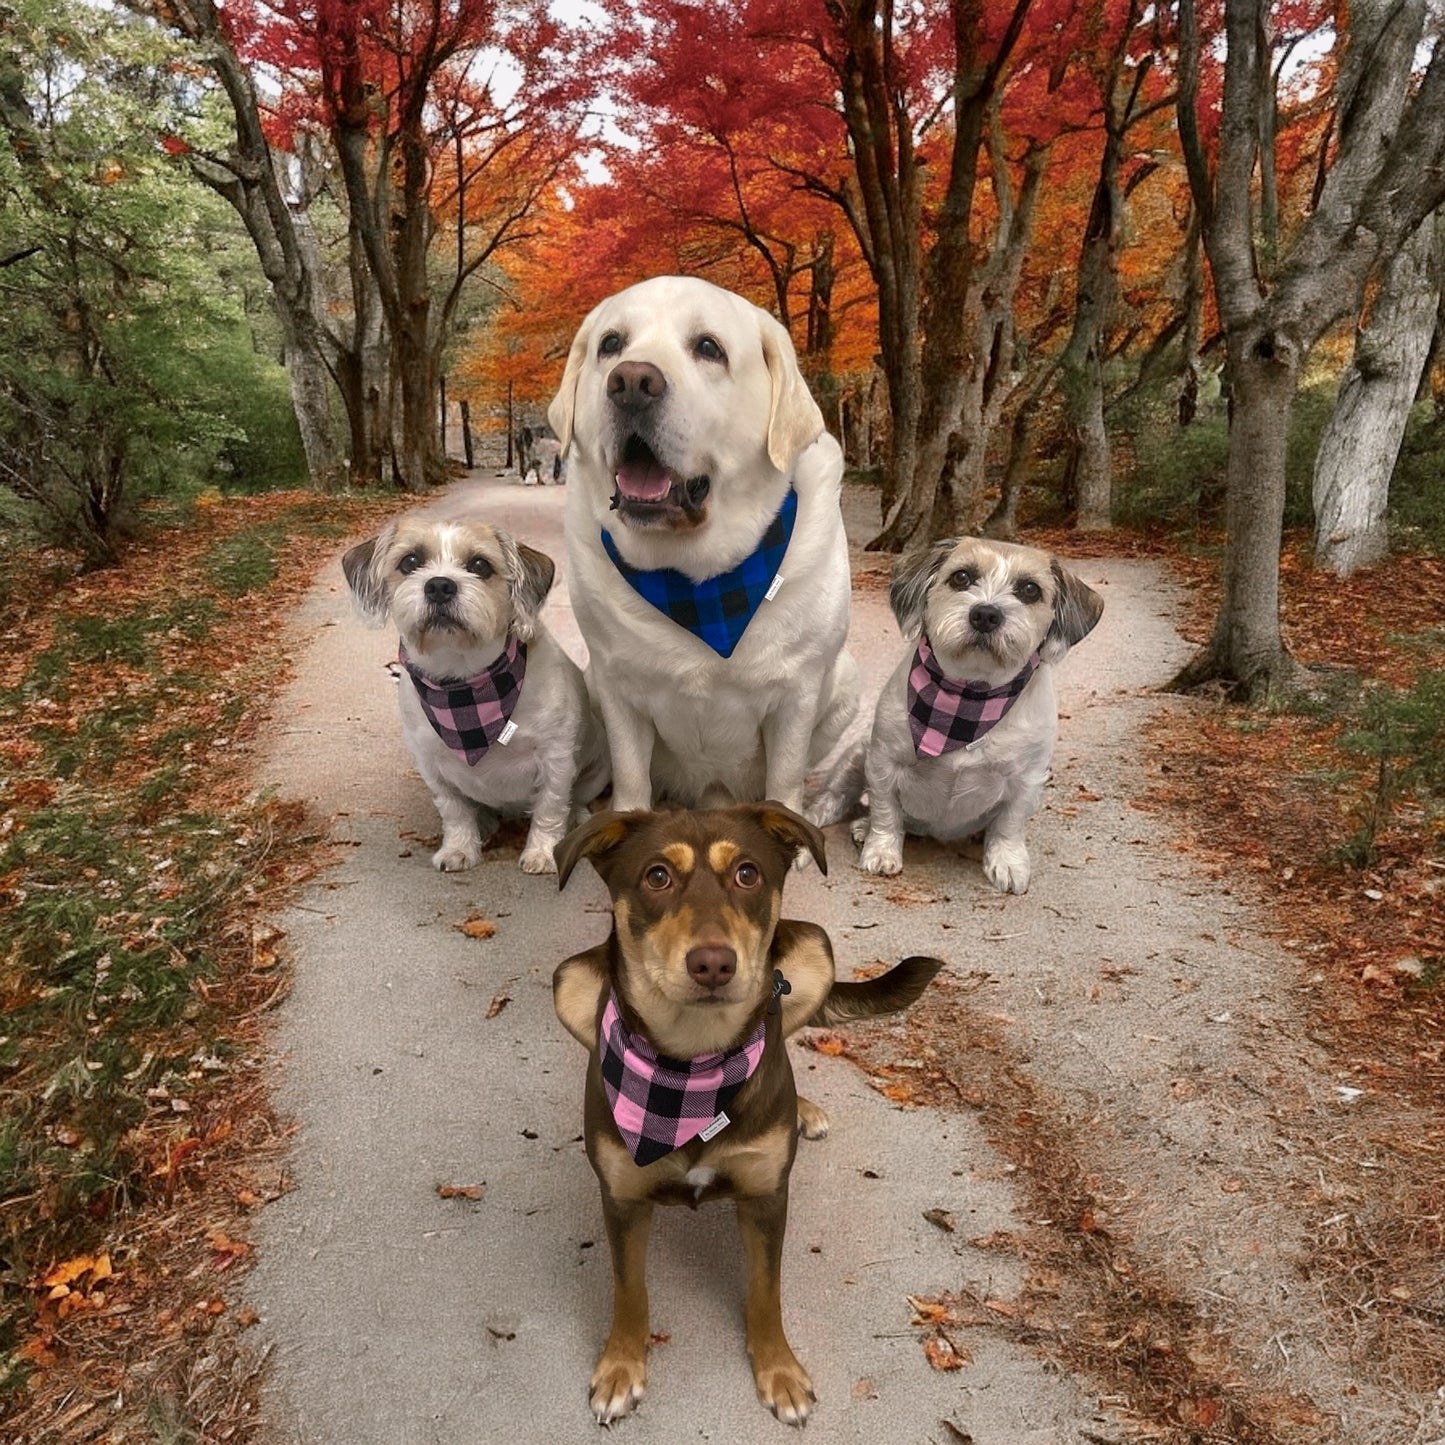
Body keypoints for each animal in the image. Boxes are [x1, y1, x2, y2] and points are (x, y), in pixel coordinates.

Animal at [549, 809, 936, 1427]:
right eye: (657, 876)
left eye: (748, 873)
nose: (713, 963)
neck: (692, 1068)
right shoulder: (623, 1197)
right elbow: (629, 1290)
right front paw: (620, 1367)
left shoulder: (767, 1195)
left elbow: (765, 1291)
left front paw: (780, 1372)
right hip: (568, 980)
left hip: (814, 949)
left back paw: (802, 1106)